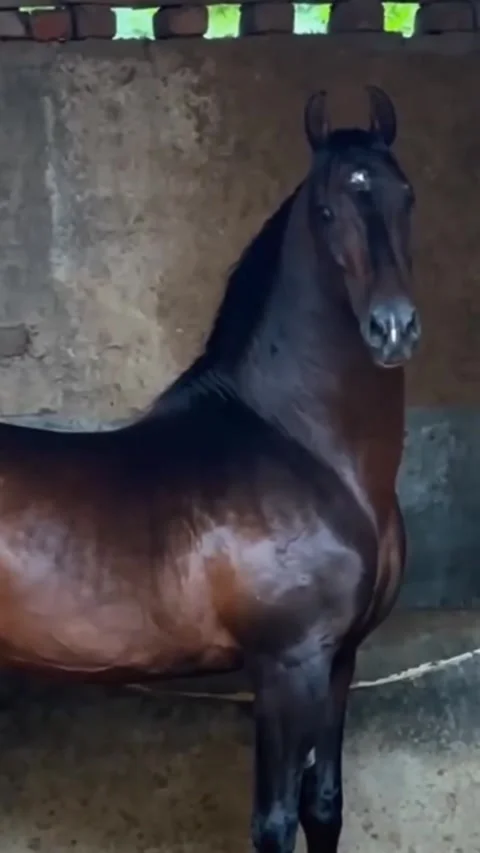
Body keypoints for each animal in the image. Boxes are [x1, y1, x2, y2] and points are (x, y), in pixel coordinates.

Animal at [0, 86, 419, 852]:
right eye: (326, 209)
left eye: (406, 196)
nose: (393, 327)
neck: (310, 451)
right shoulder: (287, 664)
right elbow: (275, 820)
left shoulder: (340, 659)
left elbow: (324, 805)